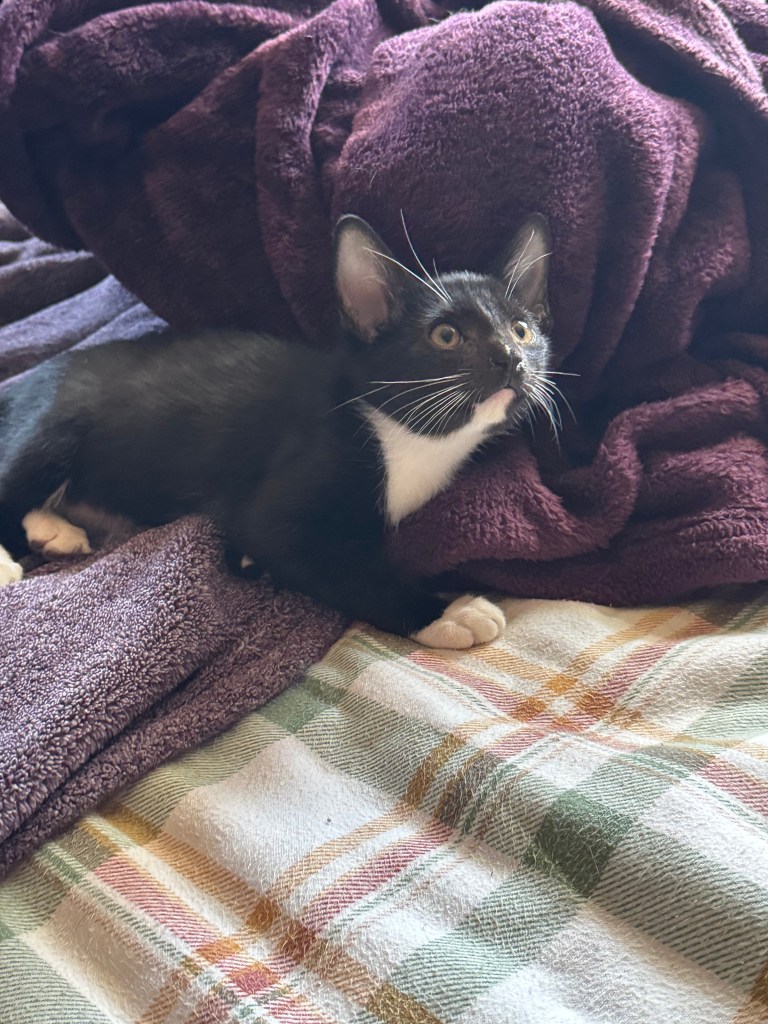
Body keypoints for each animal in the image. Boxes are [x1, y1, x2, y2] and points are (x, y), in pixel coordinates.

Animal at [0, 213, 554, 649]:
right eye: (446, 336)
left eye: (522, 329)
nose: (511, 359)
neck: (406, 439)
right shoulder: (290, 487)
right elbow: (340, 566)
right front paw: (446, 611)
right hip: (55, 420)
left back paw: (54, 530)